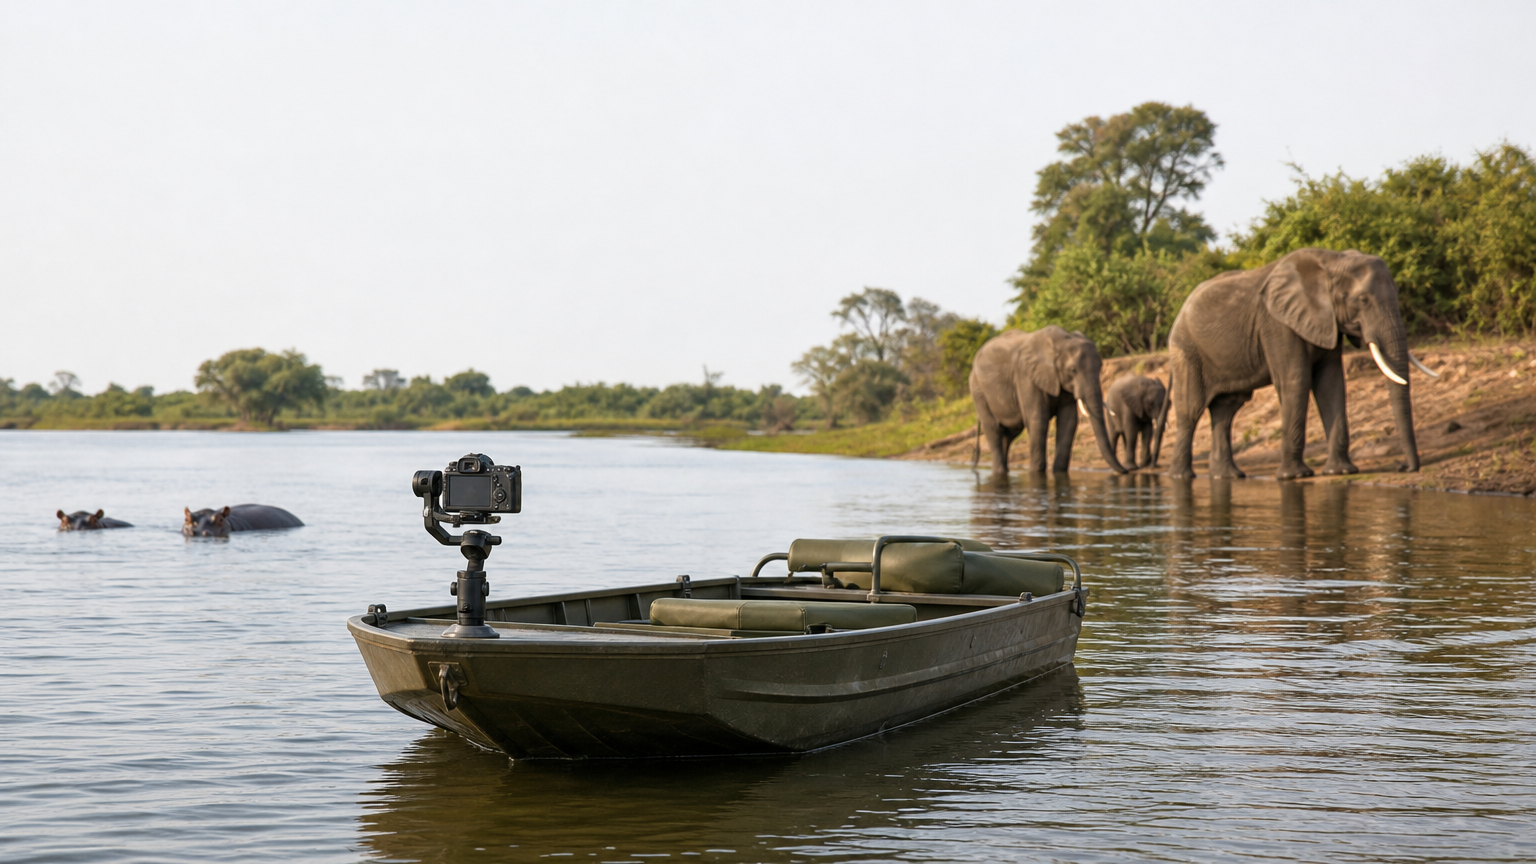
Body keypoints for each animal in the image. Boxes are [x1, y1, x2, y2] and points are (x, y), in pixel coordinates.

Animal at [969, 325, 1128, 476]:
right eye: (1072, 370)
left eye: (1101, 366)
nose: (1126, 470)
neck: (1059, 342)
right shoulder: (1026, 377)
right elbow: (1038, 420)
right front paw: (1036, 473)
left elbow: (1068, 421)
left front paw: (1059, 472)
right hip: (978, 391)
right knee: (993, 428)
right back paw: (1000, 472)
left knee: (1010, 432)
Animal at [1167, 247, 1434, 481]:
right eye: (1363, 300)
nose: (1402, 467)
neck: (1332, 262)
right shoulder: (1277, 324)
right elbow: (1296, 380)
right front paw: (1294, 476)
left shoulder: (1327, 323)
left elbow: (1331, 384)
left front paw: (1341, 472)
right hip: (1186, 351)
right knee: (1191, 410)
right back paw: (1182, 477)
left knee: (1227, 408)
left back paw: (1228, 476)